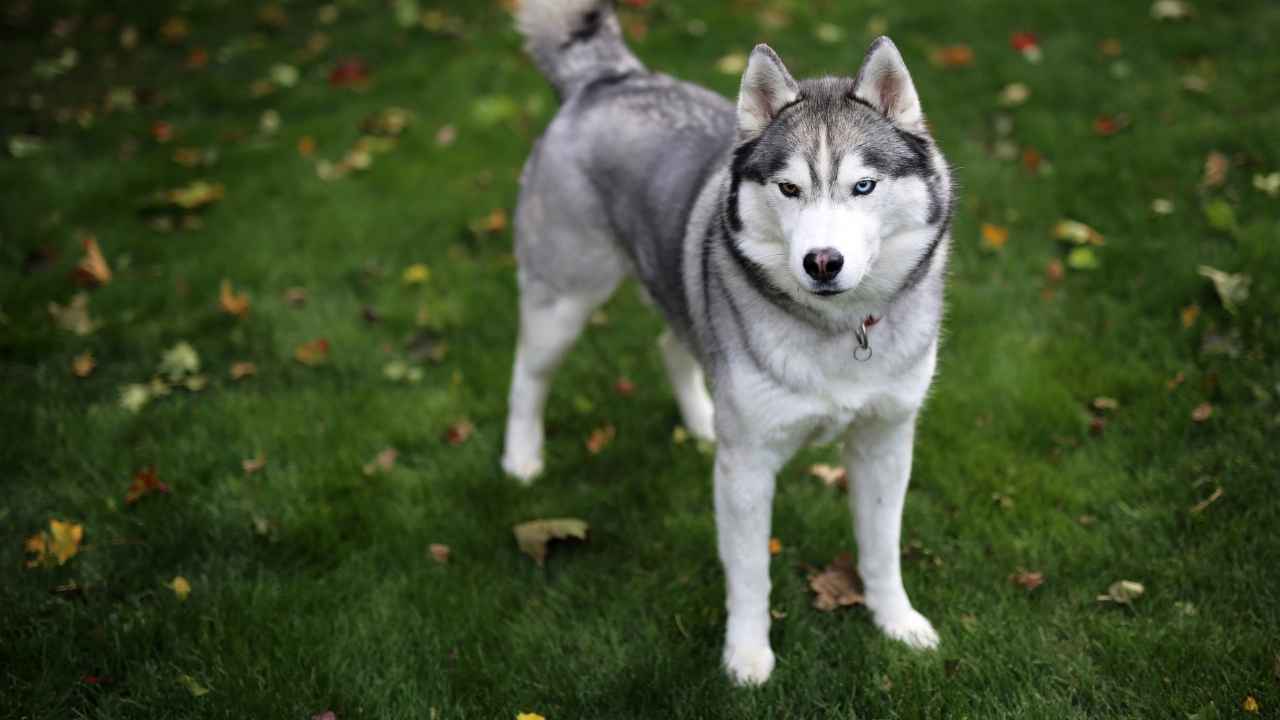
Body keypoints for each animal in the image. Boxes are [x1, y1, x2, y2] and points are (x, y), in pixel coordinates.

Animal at [499, 0, 952, 681]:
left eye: (864, 187)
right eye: (789, 189)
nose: (823, 262)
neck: (837, 331)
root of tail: (611, 78)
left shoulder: (886, 441)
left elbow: (881, 545)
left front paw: (895, 620)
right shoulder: (747, 469)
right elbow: (749, 571)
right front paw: (747, 654)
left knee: (671, 346)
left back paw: (701, 421)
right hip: (565, 296)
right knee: (529, 373)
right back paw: (521, 458)